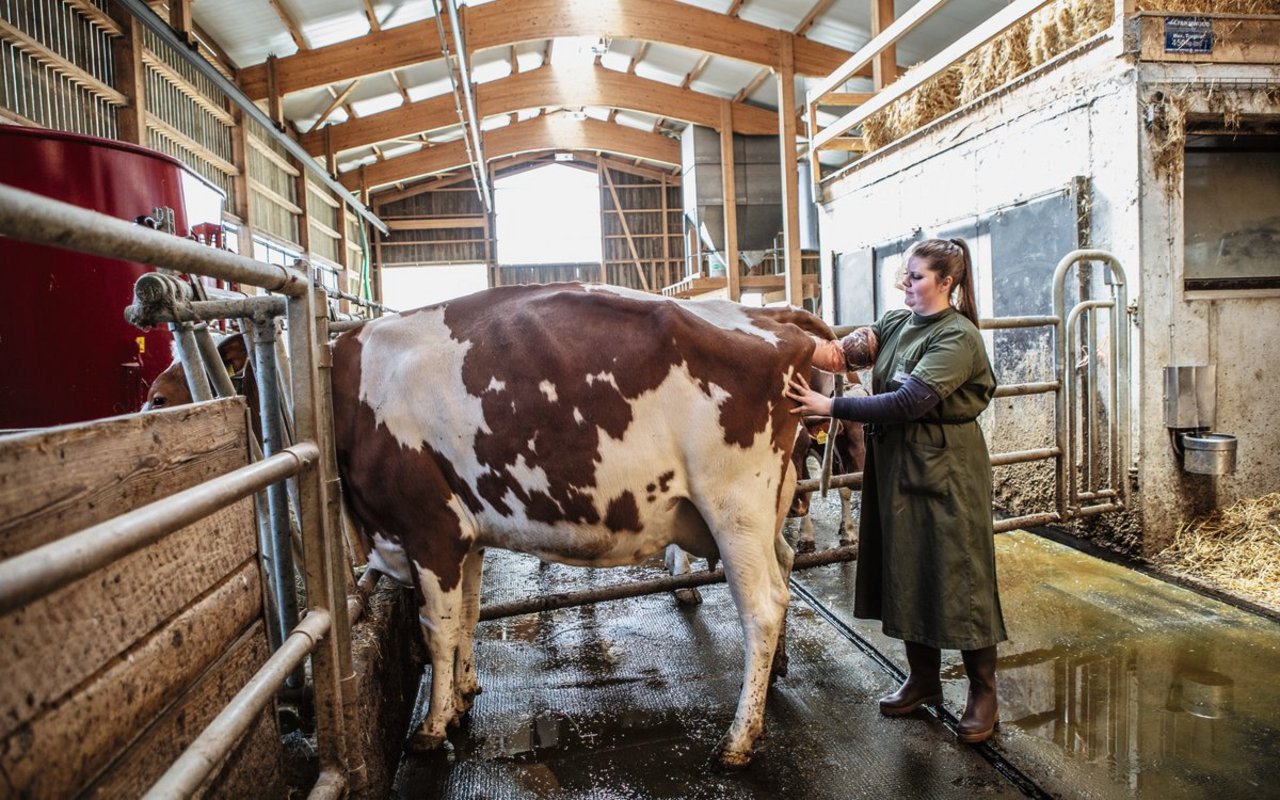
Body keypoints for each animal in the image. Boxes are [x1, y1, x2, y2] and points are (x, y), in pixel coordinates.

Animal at [325, 282, 834, 768]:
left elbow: (438, 629)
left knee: (762, 607)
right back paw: (776, 673)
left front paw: (431, 726)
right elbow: (468, 614)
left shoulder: (429, 529)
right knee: (784, 564)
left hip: (735, 506)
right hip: (771, 504)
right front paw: (463, 695)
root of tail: (769, 314)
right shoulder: (467, 536)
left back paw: (737, 740)